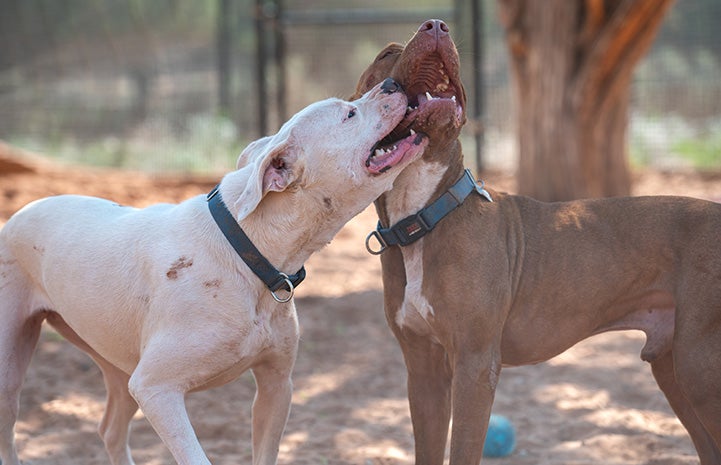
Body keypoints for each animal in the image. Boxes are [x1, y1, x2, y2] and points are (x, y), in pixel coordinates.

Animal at [0, 78, 428, 462]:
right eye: (349, 113)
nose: (392, 83)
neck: (245, 248)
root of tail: (18, 213)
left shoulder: (276, 384)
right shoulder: (157, 389)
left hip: (118, 367)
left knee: (111, 430)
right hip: (14, 370)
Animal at [352, 19, 720, 464]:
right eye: (387, 53)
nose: (438, 25)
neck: (424, 215)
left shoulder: (474, 366)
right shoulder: (423, 373)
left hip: (700, 369)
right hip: (675, 370)